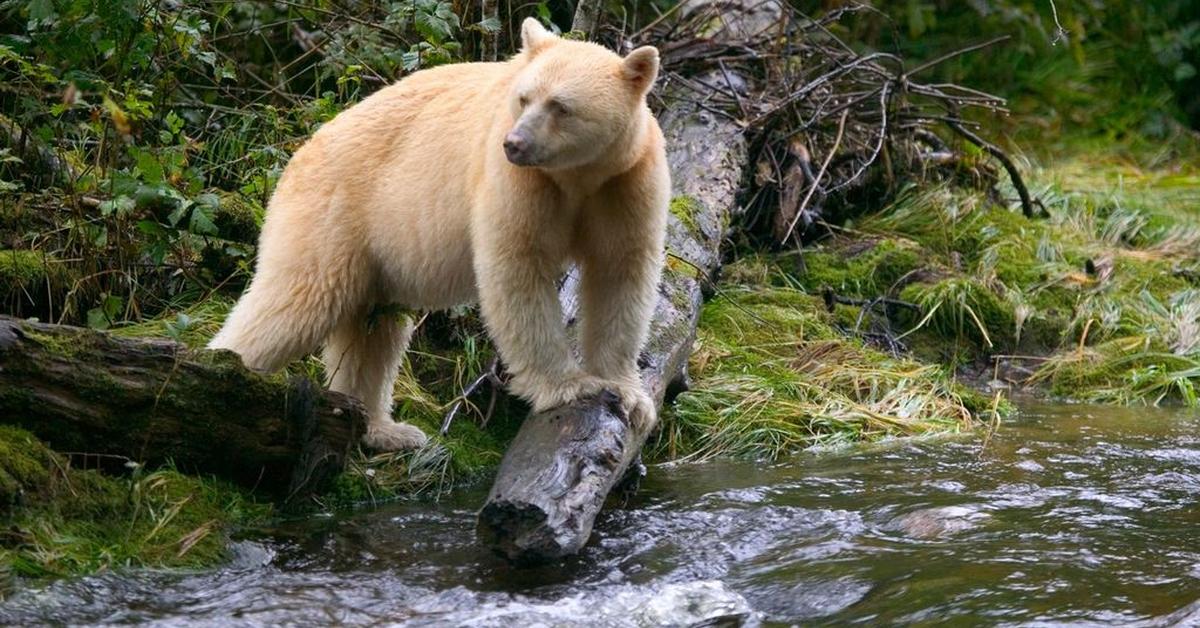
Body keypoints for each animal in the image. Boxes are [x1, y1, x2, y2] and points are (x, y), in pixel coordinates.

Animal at [211, 18, 672, 451]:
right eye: (524, 97)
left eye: (560, 106)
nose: (515, 143)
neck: (576, 177)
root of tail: (299, 152)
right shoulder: (518, 184)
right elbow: (517, 270)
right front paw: (569, 386)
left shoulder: (624, 183)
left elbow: (620, 273)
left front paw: (629, 395)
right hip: (332, 214)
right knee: (298, 301)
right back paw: (226, 378)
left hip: (373, 255)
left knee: (373, 331)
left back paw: (383, 428)